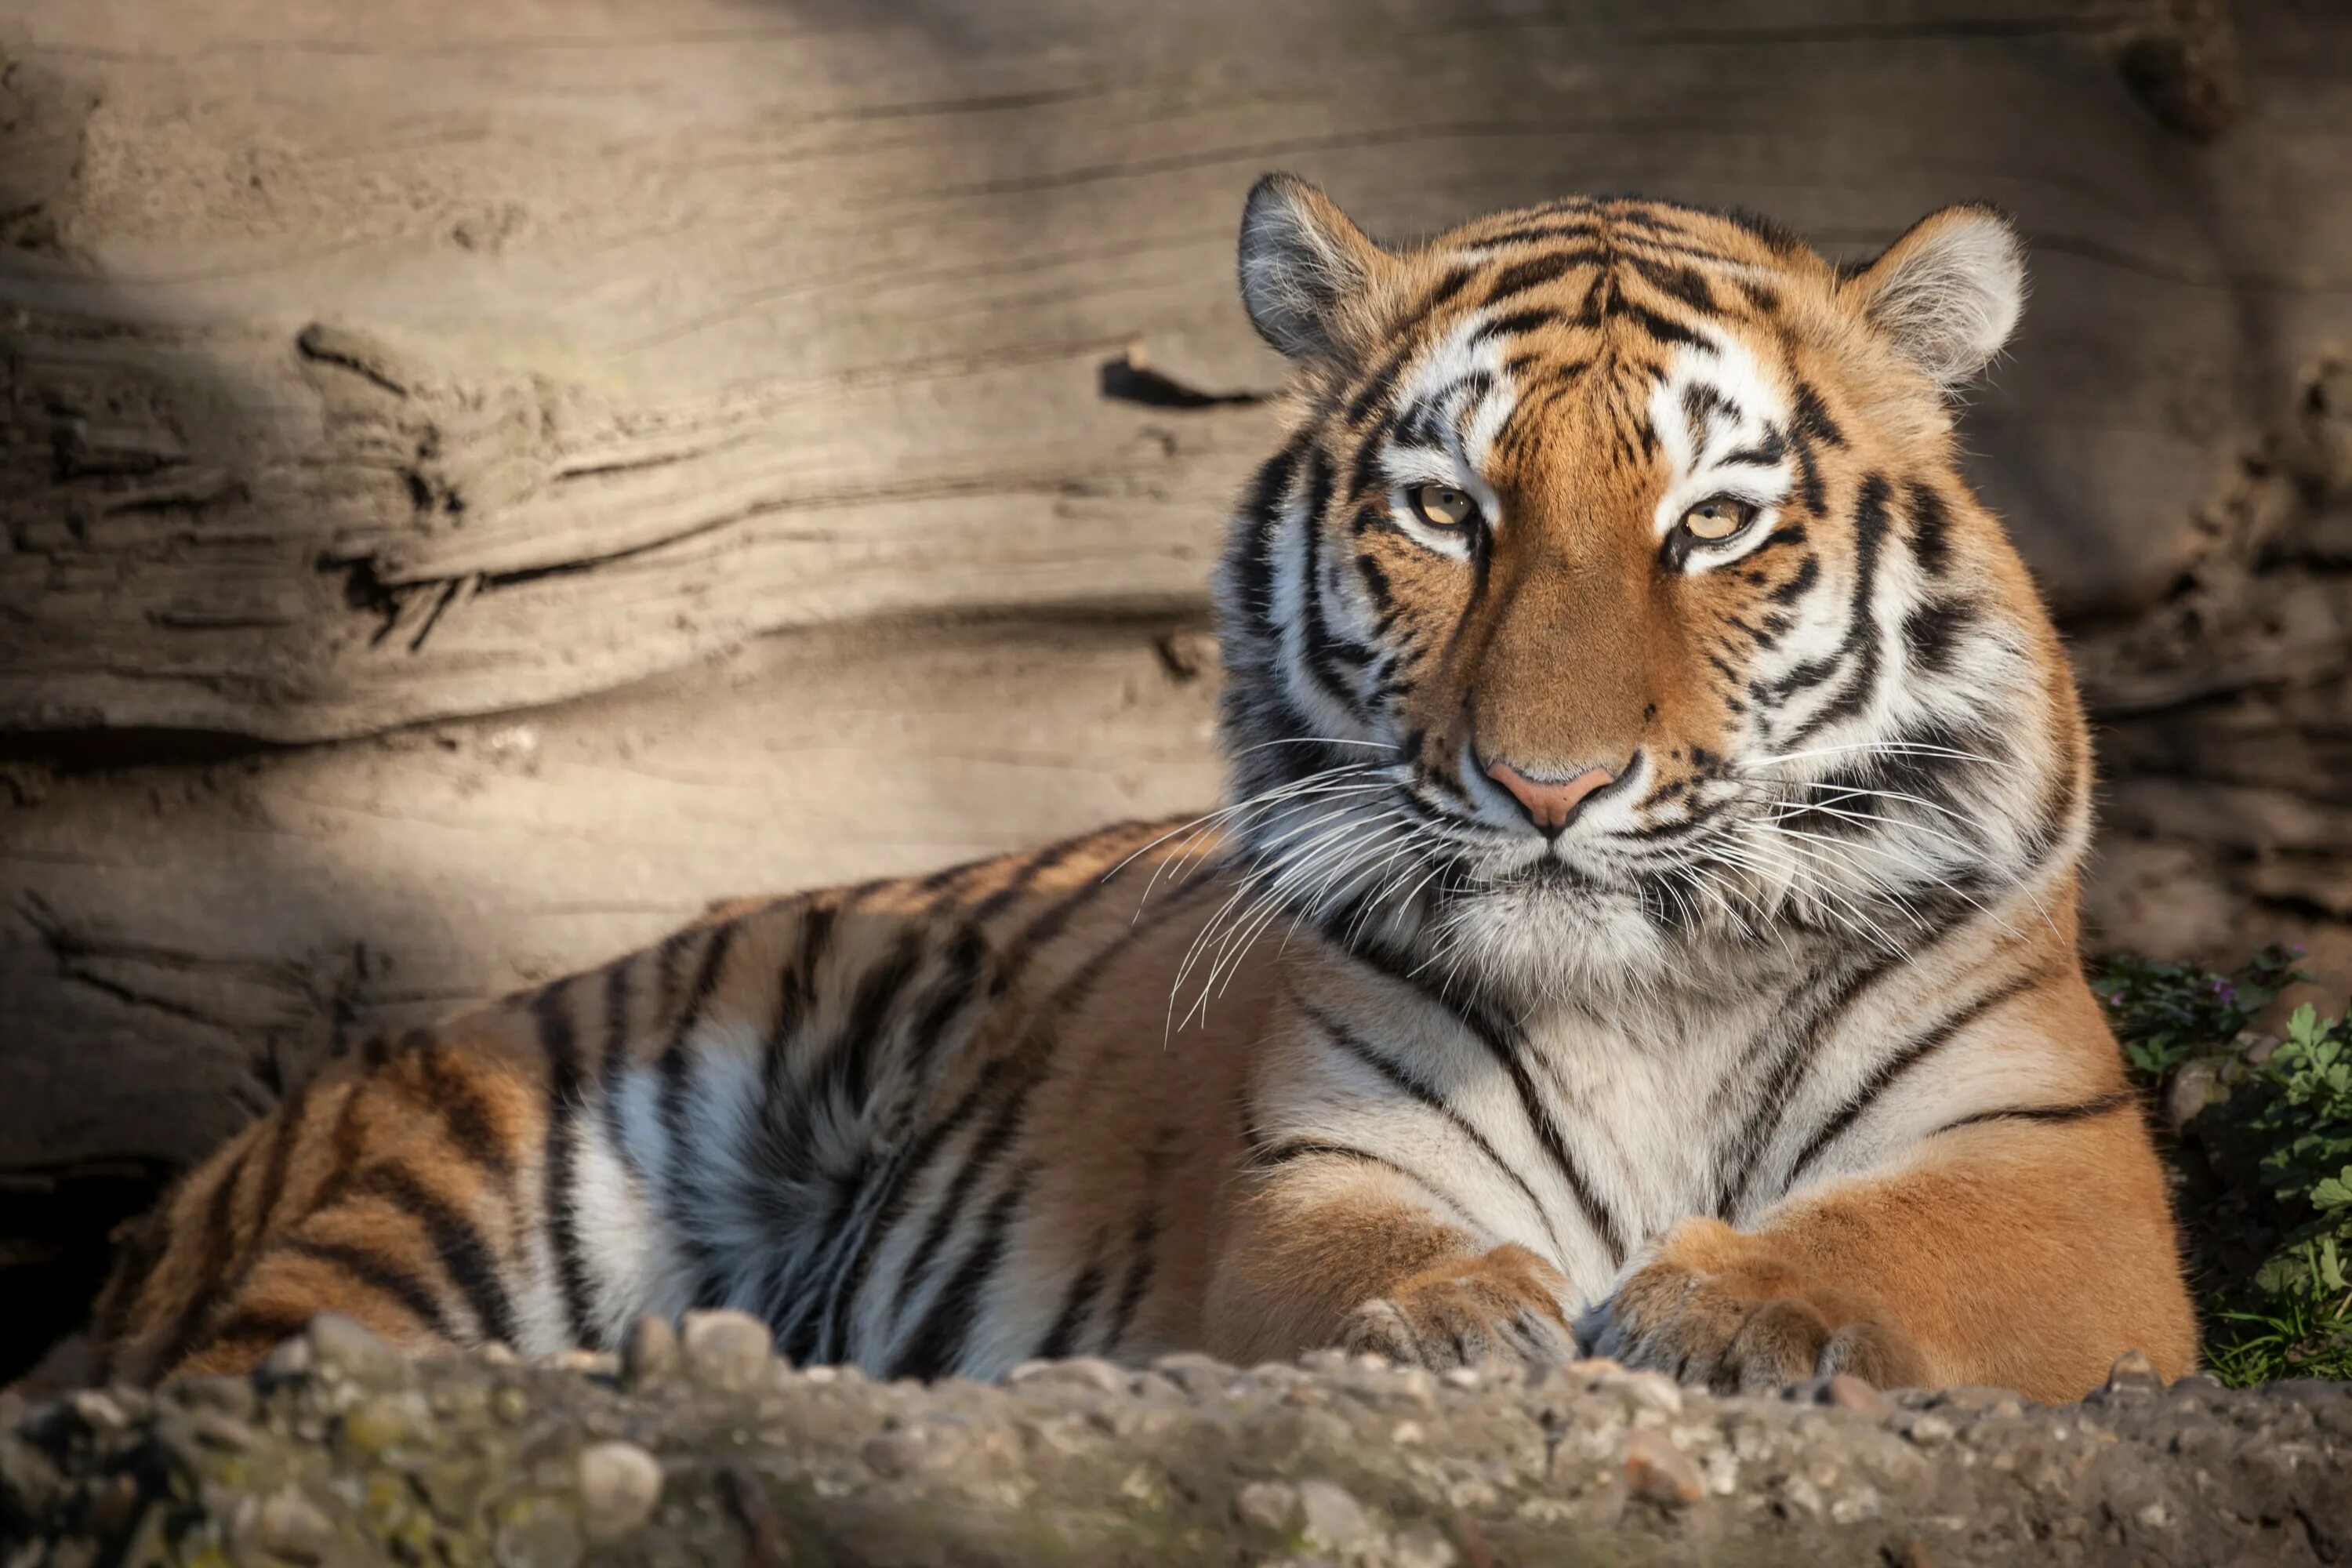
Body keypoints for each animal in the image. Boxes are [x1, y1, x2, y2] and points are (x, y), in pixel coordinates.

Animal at [78, 177, 2201, 1401]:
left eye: (1712, 527)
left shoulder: (2060, 1174)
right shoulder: (1320, 1167)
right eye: (1450, 510)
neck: (1642, 995)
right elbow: (1364, 1265)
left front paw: (1720, 1309)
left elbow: (1900, 1245)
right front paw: (1453, 1319)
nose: (1545, 783)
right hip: (471, 1161)